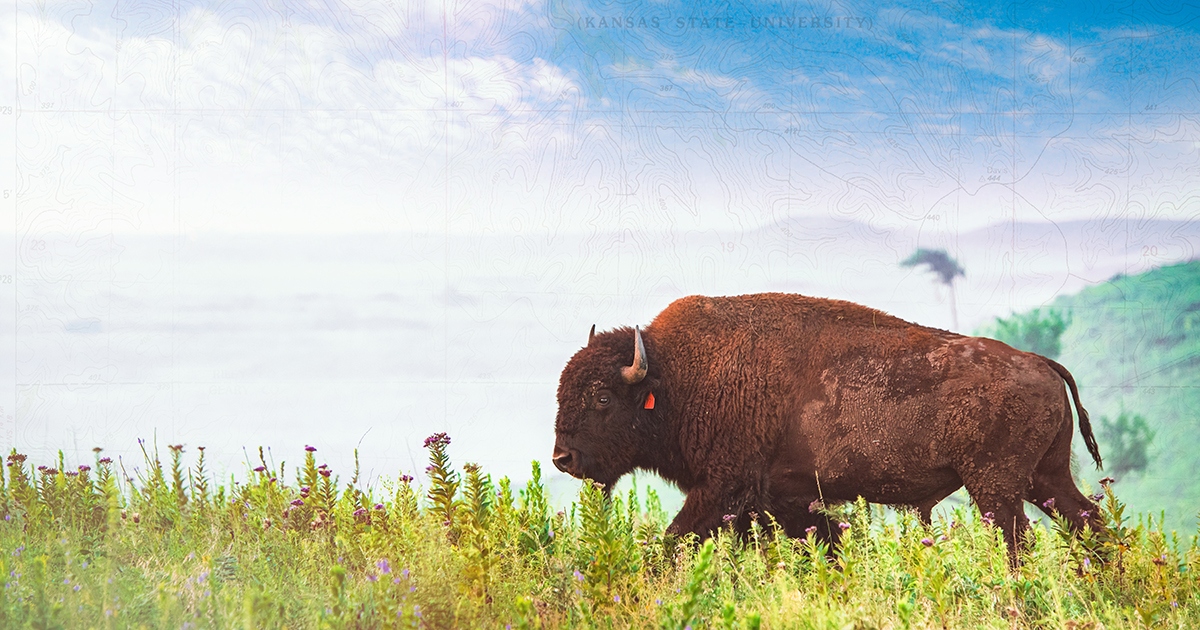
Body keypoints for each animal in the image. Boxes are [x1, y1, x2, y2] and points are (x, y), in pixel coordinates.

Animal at [552, 293, 1103, 564]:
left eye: (602, 397)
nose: (562, 458)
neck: (679, 376)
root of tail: (1040, 361)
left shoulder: (724, 489)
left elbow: (673, 540)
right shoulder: (784, 501)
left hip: (995, 487)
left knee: (1019, 543)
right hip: (1045, 478)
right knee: (1090, 522)